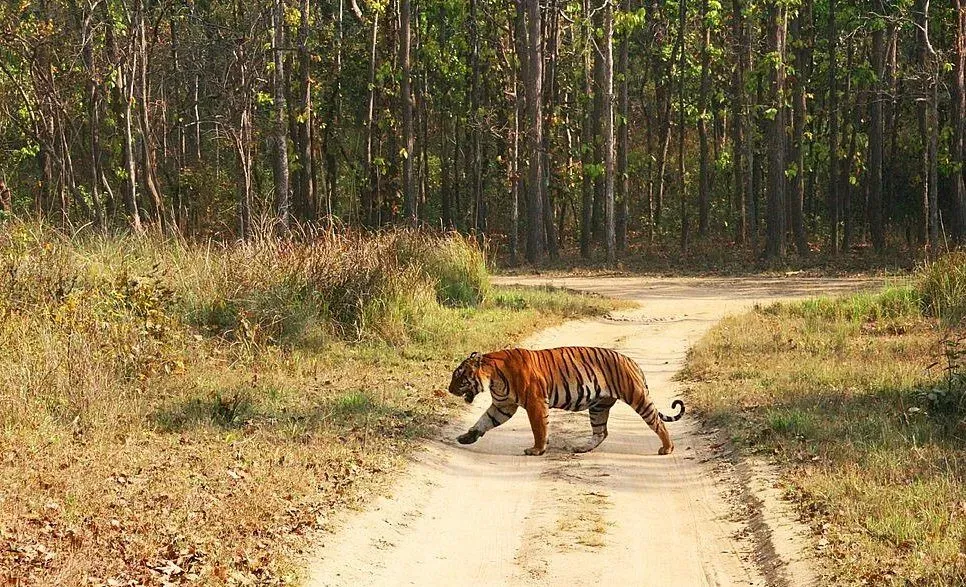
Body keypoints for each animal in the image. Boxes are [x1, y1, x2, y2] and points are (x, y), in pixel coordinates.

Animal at [447, 347, 685, 456]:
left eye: (459, 376)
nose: (449, 389)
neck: (492, 378)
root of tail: (632, 360)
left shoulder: (535, 402)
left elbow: (539, 428)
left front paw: (537, 450)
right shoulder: (503, 405)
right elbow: (484, 421)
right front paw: (467, 437)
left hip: (636, 396)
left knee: (657, 422)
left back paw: (667, 448)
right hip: (599, 407)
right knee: (601, 432)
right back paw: (582, 448)